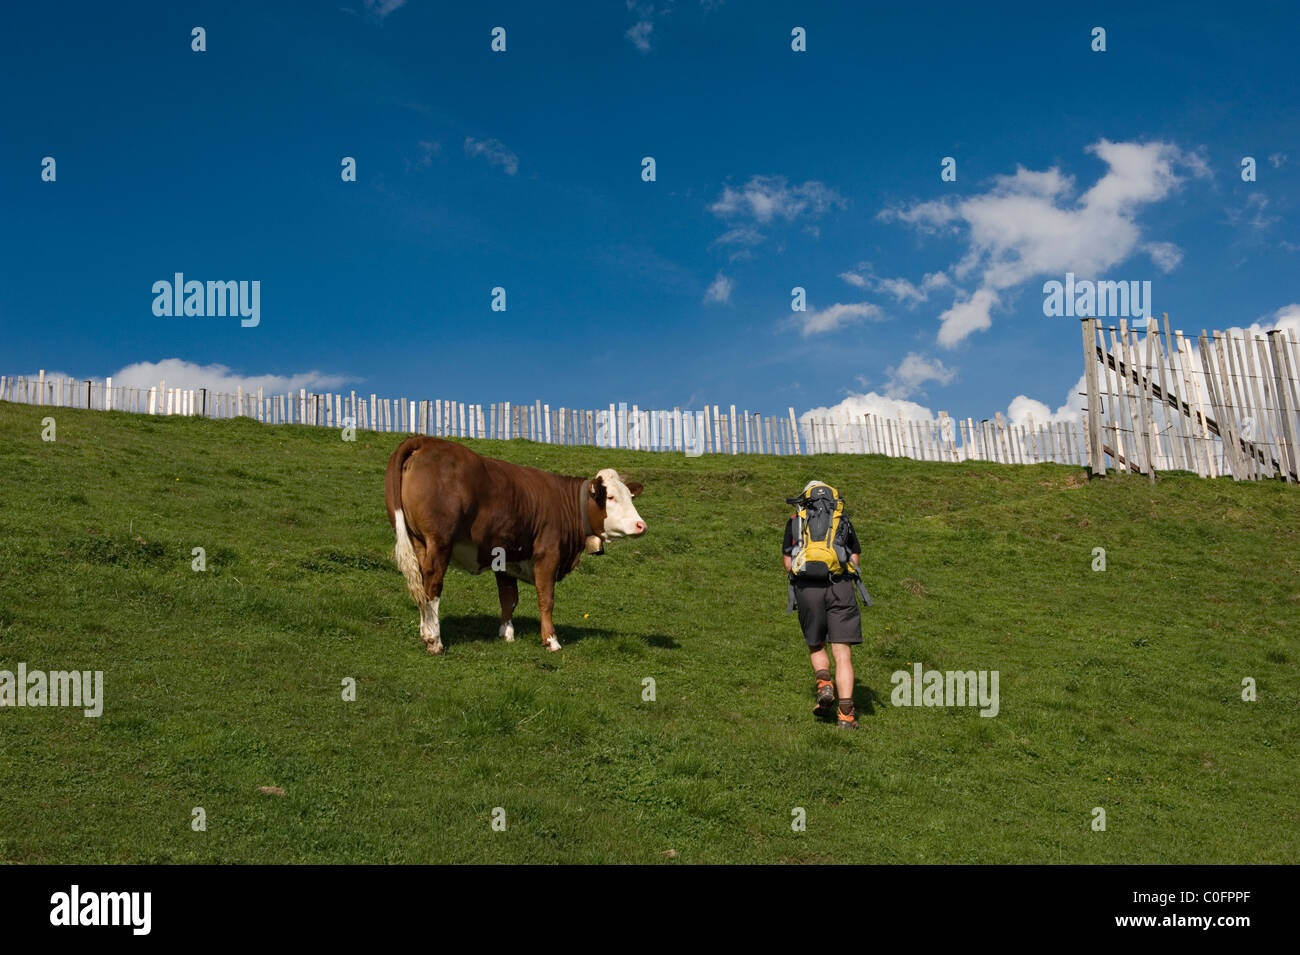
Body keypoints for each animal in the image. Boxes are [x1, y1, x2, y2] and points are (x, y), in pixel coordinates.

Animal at [384, 433, 650, 654]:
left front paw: (507, 633)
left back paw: (425, 633)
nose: (641, 525)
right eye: (611, 497)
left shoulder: (505, 556)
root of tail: (424, 440)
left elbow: (508, 597)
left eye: (630, 496)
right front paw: (551, 640)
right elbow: (546, 598)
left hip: (420, 541)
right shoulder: (547, 555)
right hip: (439, 543)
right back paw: (434, 640)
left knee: (420, 585)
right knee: (432, 585)